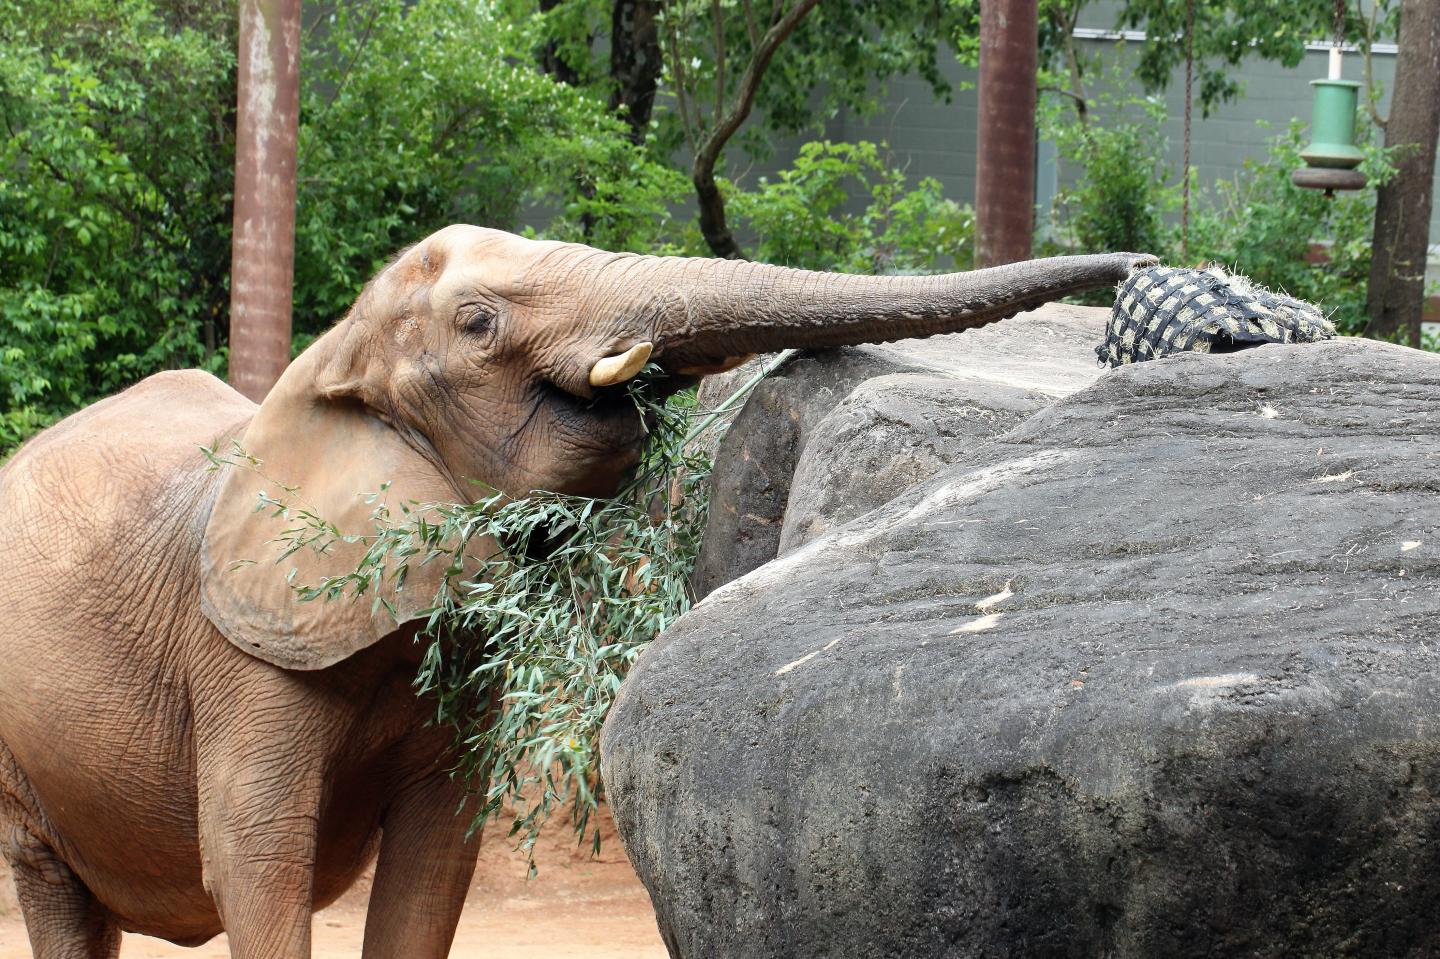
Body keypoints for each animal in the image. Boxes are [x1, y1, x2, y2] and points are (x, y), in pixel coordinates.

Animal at [0, 223, 1153, 958]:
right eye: (476, 324)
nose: (1145, 261)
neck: (325, 361)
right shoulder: (243, 659)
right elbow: (256, 862)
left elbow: (437, 856)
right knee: (55, 892)